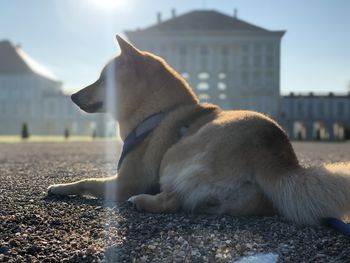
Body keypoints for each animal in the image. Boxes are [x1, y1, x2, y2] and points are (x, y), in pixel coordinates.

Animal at [47, 34, 350, 225]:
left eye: (103, 79)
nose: (72, 96)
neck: (159, 112)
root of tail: (274, 153)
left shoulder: (126, 181)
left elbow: (86, 180)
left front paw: (60, 186)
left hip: (174, 155)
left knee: (173, 199)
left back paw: (142, 201)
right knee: (182, 200)